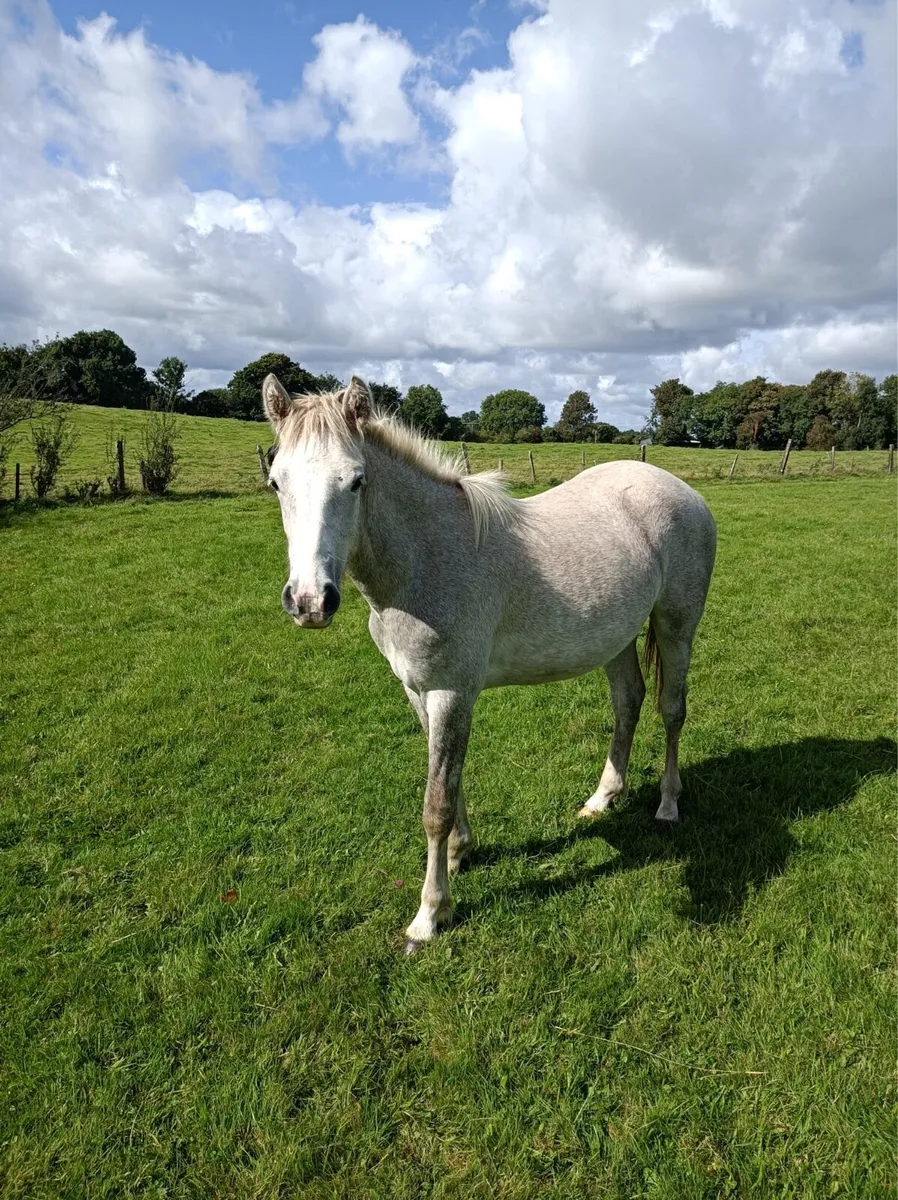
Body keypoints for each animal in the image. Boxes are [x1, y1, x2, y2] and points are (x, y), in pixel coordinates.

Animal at [260, 374, 717, 953]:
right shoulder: (419, 692)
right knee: (628, 703)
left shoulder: (452, 693)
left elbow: (435, 803)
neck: (427, 560)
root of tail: (683, 490)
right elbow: (449, 785)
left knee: (671, 709)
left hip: (677, 623)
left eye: (357, 482)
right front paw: (460, 854)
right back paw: (602, 798)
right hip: (615, 639)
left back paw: (667, 805)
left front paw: (429, 916)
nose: (310, 602)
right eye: (276, 482)